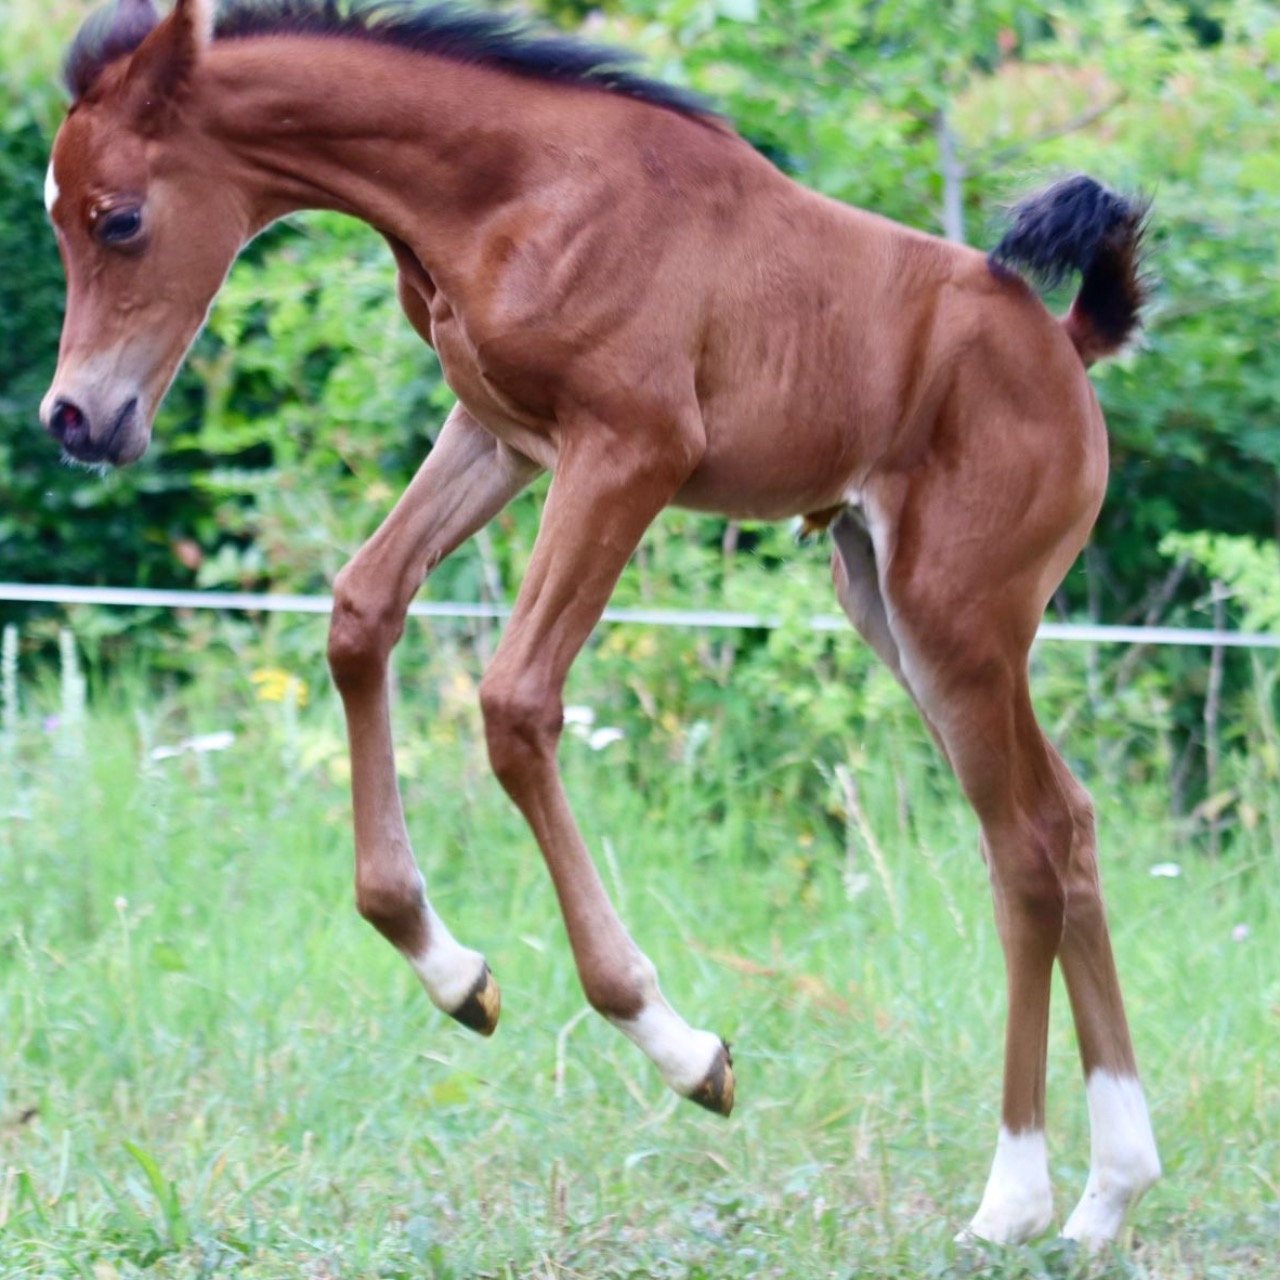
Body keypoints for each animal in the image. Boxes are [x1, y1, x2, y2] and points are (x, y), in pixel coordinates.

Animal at [42, 0, 1162, 1244]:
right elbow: (360, 612)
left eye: (120, 217)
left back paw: (1011, 1196)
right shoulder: (501, 434)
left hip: (955, 614)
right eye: (55, 215)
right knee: (1066, 820)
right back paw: (1106, 1194)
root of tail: (1063, 346)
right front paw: (449, 968)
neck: (515, 191)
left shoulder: (630, 449)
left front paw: (682, 1047)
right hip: (886, 600)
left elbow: (514, 701)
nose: (76, 418)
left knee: (1021, 845)